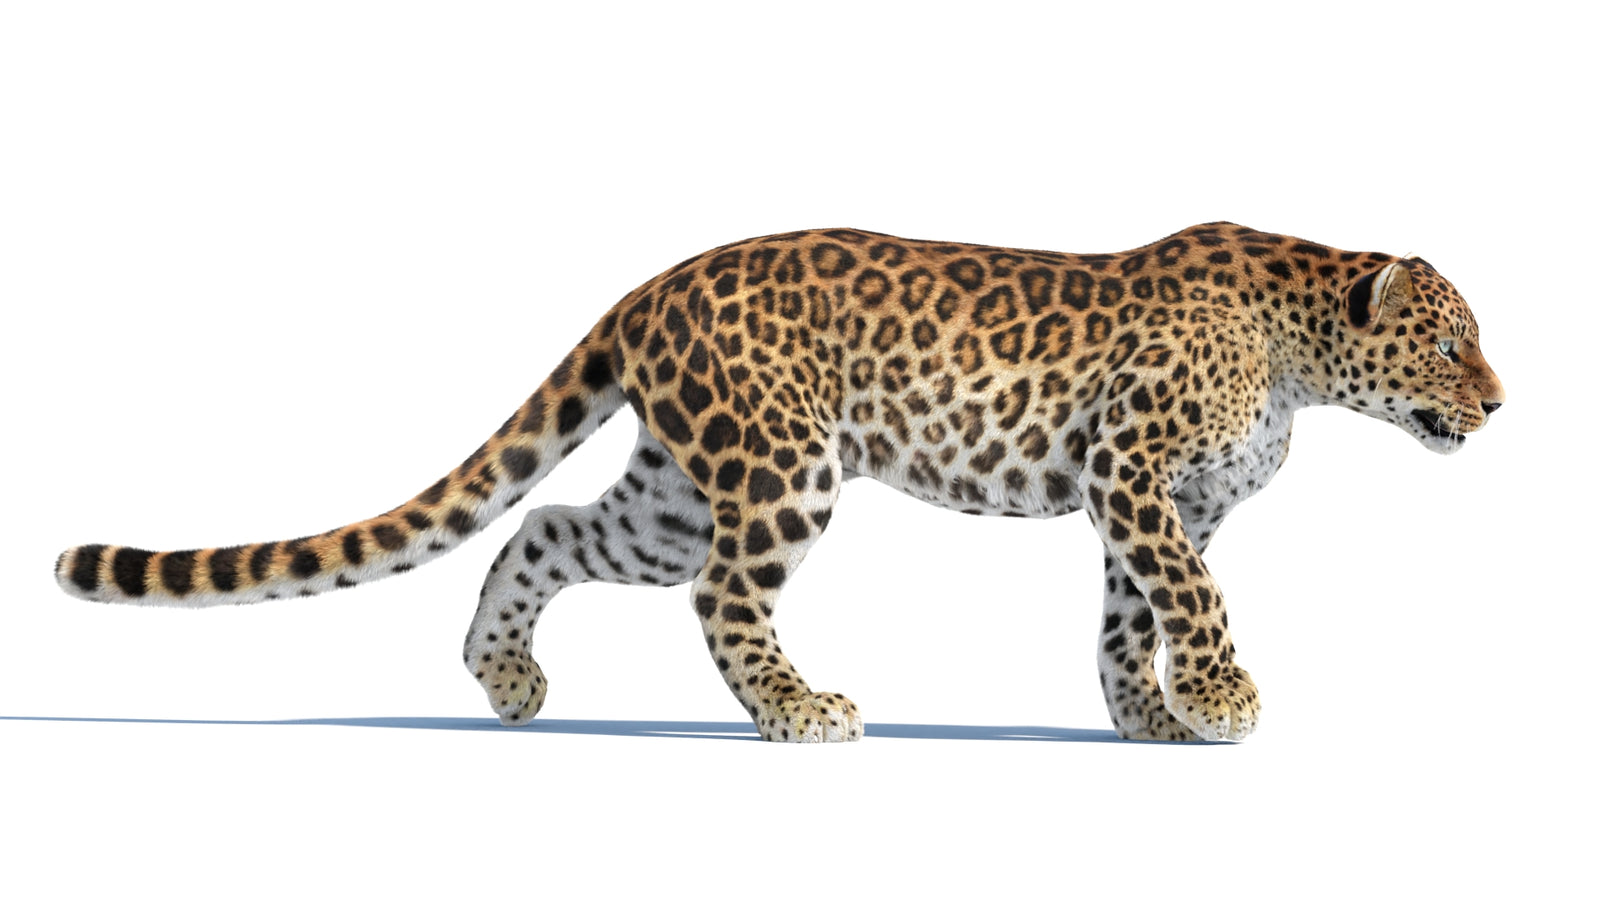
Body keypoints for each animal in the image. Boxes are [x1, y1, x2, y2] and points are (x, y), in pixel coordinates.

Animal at [54, 223, 1505, 742]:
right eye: (1450, 342)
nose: (1500, 402)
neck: (1302, 352)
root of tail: (653, 284)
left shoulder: (1156, 505)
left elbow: (1129, 613)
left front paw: (1150, 716)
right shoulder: (1134, 468)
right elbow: (1191, 599)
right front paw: (1220, 699)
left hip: (674, 489)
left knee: (548, 527)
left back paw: (506, 678)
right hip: (782, 466)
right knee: (719, 600)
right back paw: (800, 710)